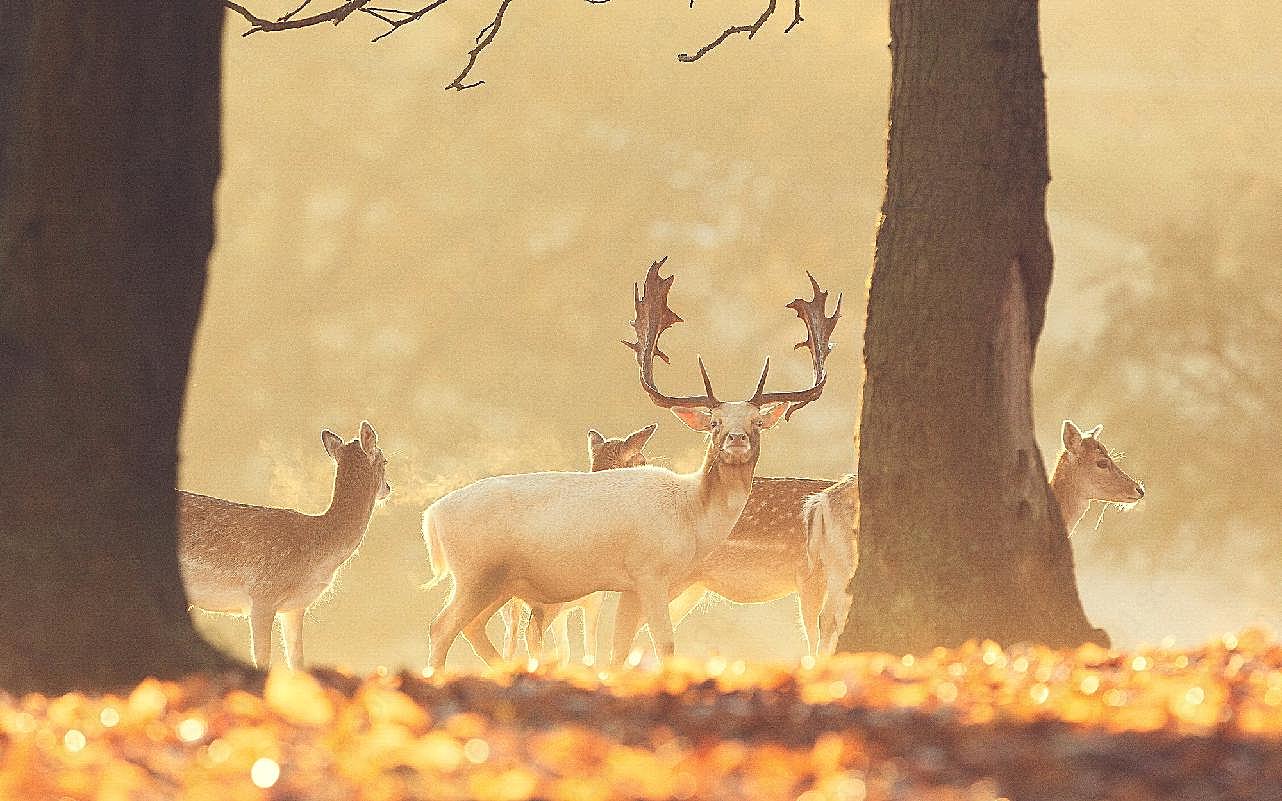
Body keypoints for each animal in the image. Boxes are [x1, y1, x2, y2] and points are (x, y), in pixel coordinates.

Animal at [179, 422, 389, 671]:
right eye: (385, 460)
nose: (388, 488)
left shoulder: (294, 608)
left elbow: (298, 662)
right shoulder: (262, 596)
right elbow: (262, 660)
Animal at [497, 422, 661, 666]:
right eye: (639, 459)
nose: (648, 466)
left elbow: (565, 651)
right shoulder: (593, 601)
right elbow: (589, 645)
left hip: (507, 604)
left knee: (510, 640)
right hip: (548, 597)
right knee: (531, 634)